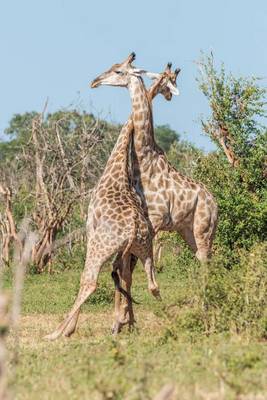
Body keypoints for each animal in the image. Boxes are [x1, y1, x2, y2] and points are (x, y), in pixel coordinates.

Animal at [44, 52, 166, 340]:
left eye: (118, 71)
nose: (95, 81)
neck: (116, 168)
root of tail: (133, 229)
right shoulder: (126, 252)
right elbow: (125, 280)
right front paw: (124, 322)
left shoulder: (90, 227)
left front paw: (73, 329)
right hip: (144, 248)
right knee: (153, 285)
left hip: (100, 246)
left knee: (89, 281)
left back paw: (57, 332)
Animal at [93, 55, 219, 332]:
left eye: (118, 71)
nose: (95, 81)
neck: (144, 156)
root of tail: (215, 204)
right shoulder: (143, 225)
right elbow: (125, 271)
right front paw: (123, 322)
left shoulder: (153, 225)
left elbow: (128, 272)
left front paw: (123, 321)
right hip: (188, 231)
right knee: (203, 260)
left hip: (203, 229)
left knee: (206, 263)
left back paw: (206, 312)